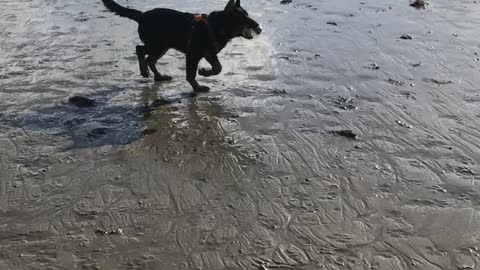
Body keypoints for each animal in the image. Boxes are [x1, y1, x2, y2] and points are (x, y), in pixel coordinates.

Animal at [101, 0, 262, 92]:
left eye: (247, 15)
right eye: (243, 18)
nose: (259, 27)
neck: (215, 26)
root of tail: (141, 15)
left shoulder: (209, 53)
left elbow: (218, 68)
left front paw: (204, 72)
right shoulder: (192, 55)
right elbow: (191, 74)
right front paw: (197, 88)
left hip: (162, 47)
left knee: (150, 60)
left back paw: (159, 77)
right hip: (157, 45)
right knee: (139, 50)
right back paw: (144, 71)